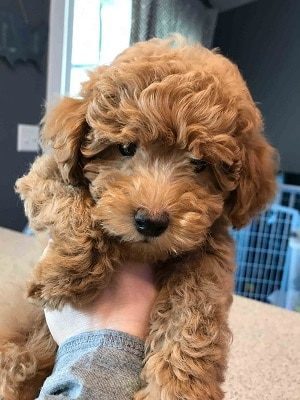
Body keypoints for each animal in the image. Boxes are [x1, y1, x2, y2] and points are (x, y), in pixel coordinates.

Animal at [0, 38, 276, 400]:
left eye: (200, 164)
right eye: (126, 148)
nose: (151, 222)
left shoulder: (210, 248)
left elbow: (195, 306)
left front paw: (176, 387)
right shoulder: (44, 175)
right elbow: (65, 196)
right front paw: (66, 271)